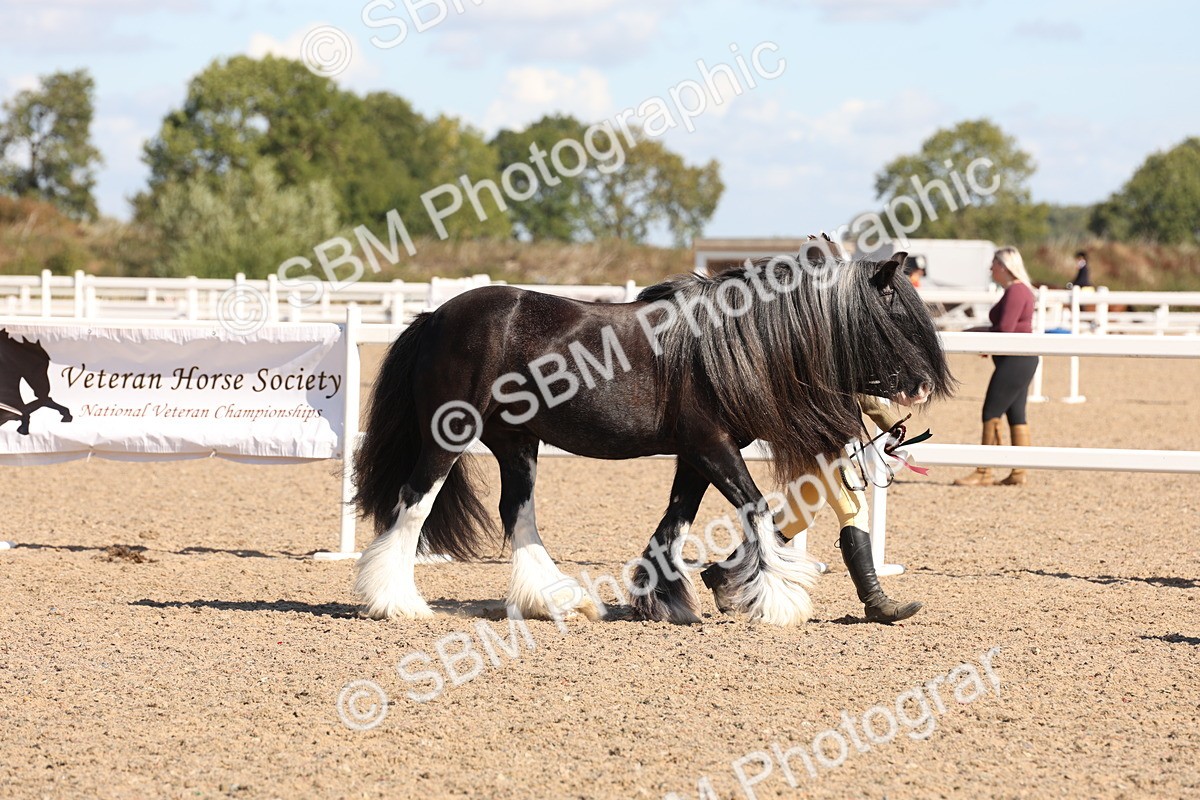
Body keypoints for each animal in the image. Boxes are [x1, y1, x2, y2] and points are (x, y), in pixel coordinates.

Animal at [351, 251, 953, 626]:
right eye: (893, 316)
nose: (923, 388)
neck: (731, 343)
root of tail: (434, 317)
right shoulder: (712, 447)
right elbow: (755, 509)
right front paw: (779, 602)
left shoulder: (696, 454)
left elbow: (675, 524)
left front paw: (667, 599)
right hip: (450, 435)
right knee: (414, 502)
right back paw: (397, 602)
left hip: (516, 442)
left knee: (516, 512)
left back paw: (556, 601)